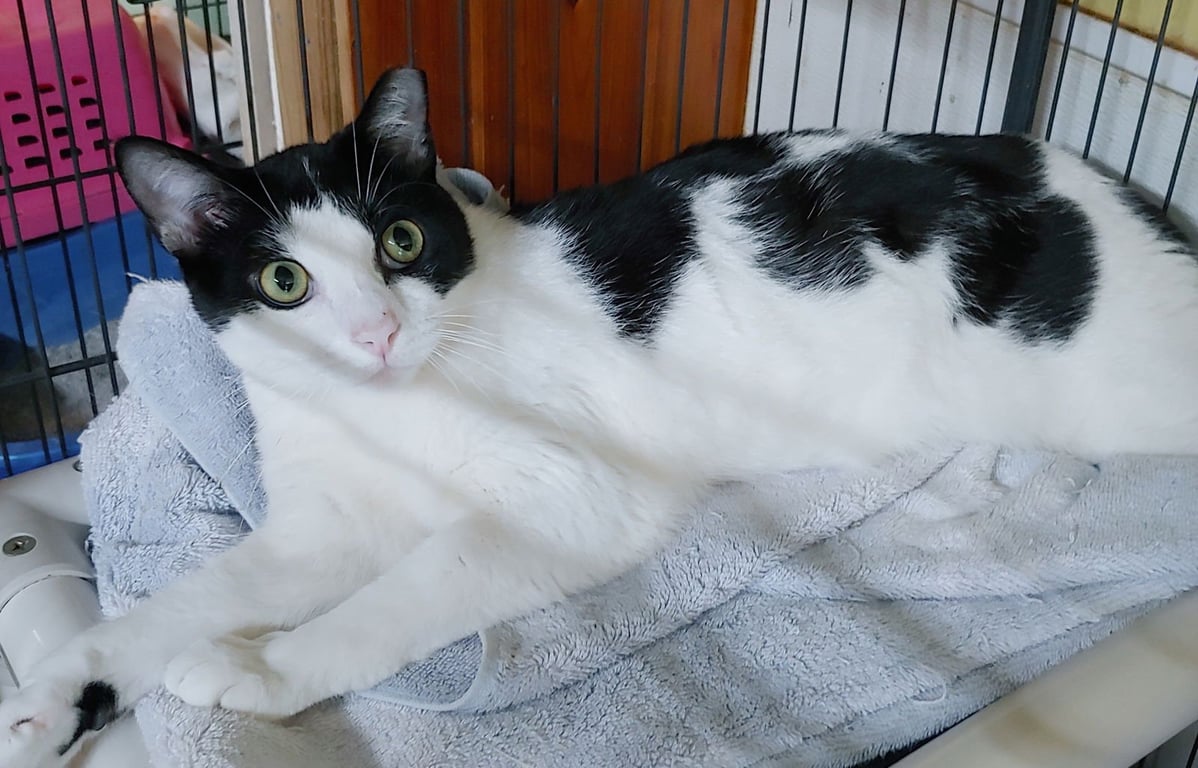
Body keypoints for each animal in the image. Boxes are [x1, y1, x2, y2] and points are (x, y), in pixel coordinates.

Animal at [2, 66, 1197, 767]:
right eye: (284, 282)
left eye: (401, 241)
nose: (378, 334)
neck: (393, 409)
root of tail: (1129, 202)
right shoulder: (323, 517)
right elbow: (205, 592)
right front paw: (65, 693)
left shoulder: (570, 496)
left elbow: (392, 604)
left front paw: (262, 672)